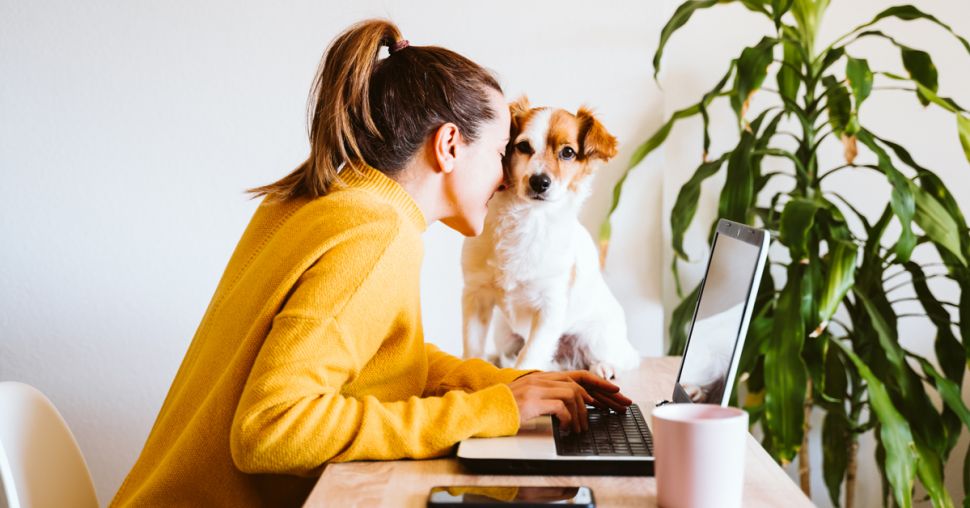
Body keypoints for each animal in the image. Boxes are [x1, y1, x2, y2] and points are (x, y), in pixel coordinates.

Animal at [458, 97, 640, 380]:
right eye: (523, 146)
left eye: (568, 152)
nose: (539, 182)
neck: (527, 218)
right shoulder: (476, 296)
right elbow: (473, 348)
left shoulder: (549, 307)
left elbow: (529, 358)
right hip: (504, 334)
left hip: (598, 337)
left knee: (623, 360)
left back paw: (604, 367)